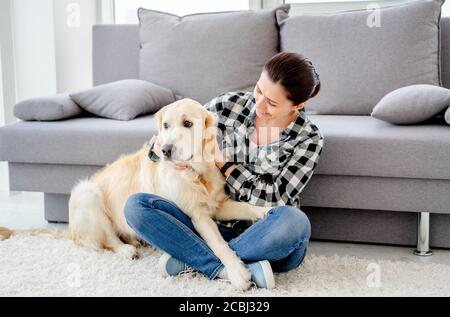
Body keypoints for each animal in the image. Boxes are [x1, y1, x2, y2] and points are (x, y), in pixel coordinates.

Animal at [0, 100, 270, 290]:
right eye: (165, 126)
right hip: (88, 193)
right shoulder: (198, 214)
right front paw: (237, 273)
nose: (165, 149)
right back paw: (126, 249)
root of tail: (71, 229)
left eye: (188, 124)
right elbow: (218, 244)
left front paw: (267, 210)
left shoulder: (218, 204)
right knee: (106, 240)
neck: (196, 172)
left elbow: (246, 207)